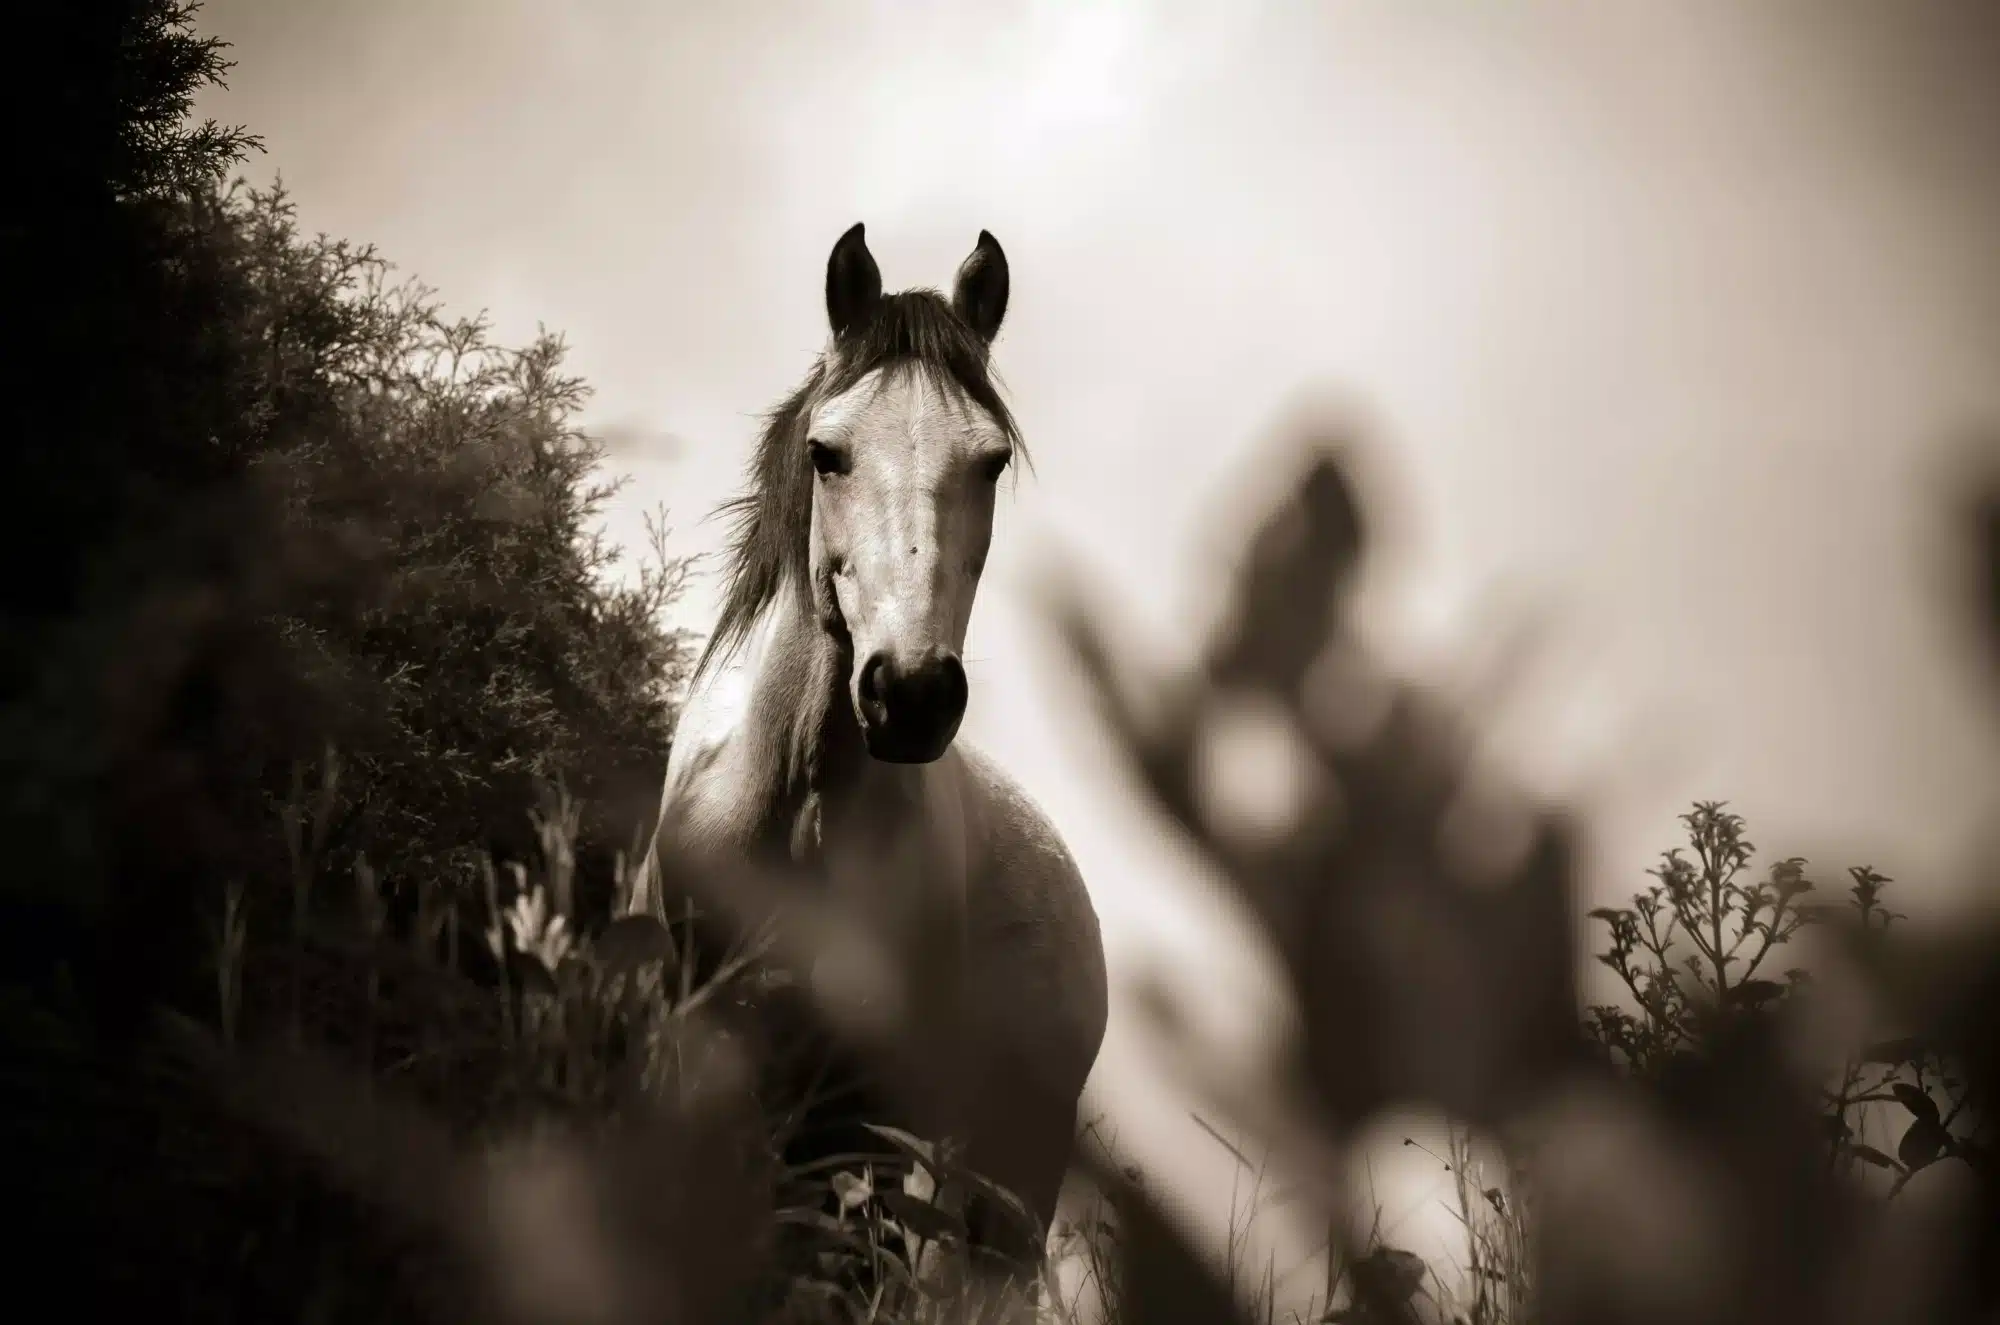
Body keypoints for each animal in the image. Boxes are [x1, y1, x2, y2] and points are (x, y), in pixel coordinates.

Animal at [628, 222, 1108, 1277]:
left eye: (990, 462)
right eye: (828, 452)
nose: (913, 693)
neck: (795, 812)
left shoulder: (876, 1121)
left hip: (999, 1187)